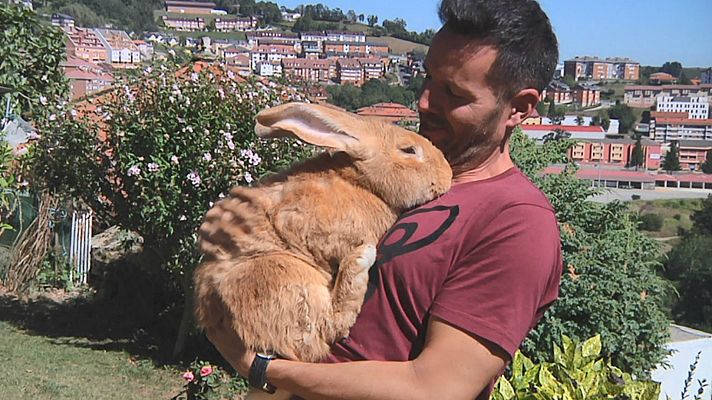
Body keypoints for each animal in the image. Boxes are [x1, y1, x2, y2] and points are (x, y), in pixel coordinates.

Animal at [193, 102, 452, 397]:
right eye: (409, 150)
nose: (448, 175)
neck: (360, 182)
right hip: (282, 277)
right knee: (322, 334)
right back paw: (360, 261)